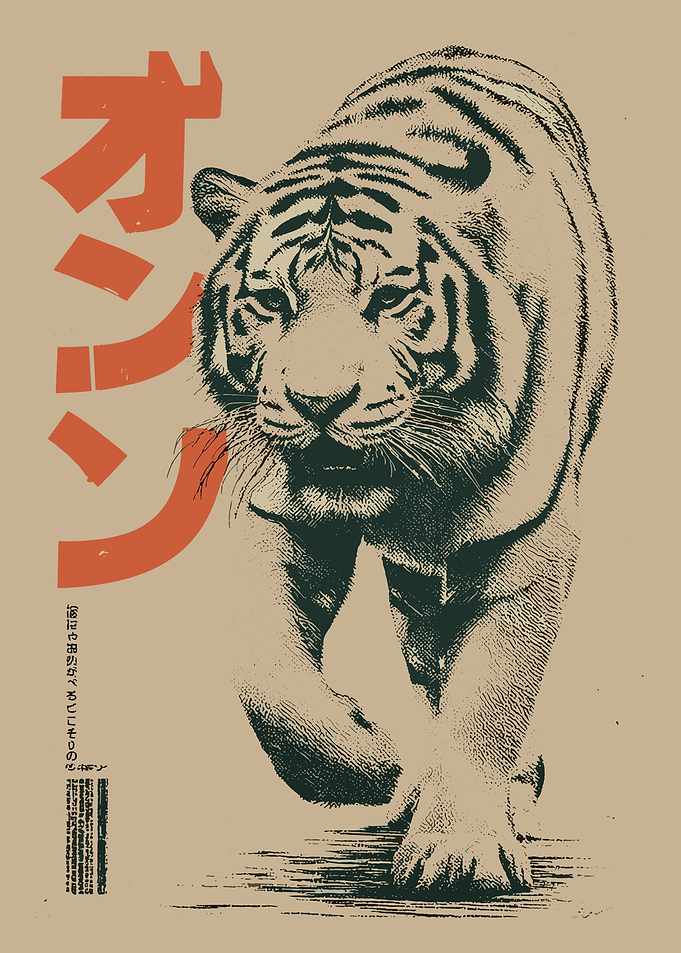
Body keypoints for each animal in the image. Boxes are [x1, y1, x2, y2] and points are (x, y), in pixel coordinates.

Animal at [190, 45, 616, 898]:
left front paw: (461, 851)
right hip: (413, 584)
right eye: (271, 301)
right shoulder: (276, 511)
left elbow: (490, 692)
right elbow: (264, 672)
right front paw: (368, 763)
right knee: (424, 652)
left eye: (388, 299)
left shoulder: (526, 535)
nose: (318, 401)